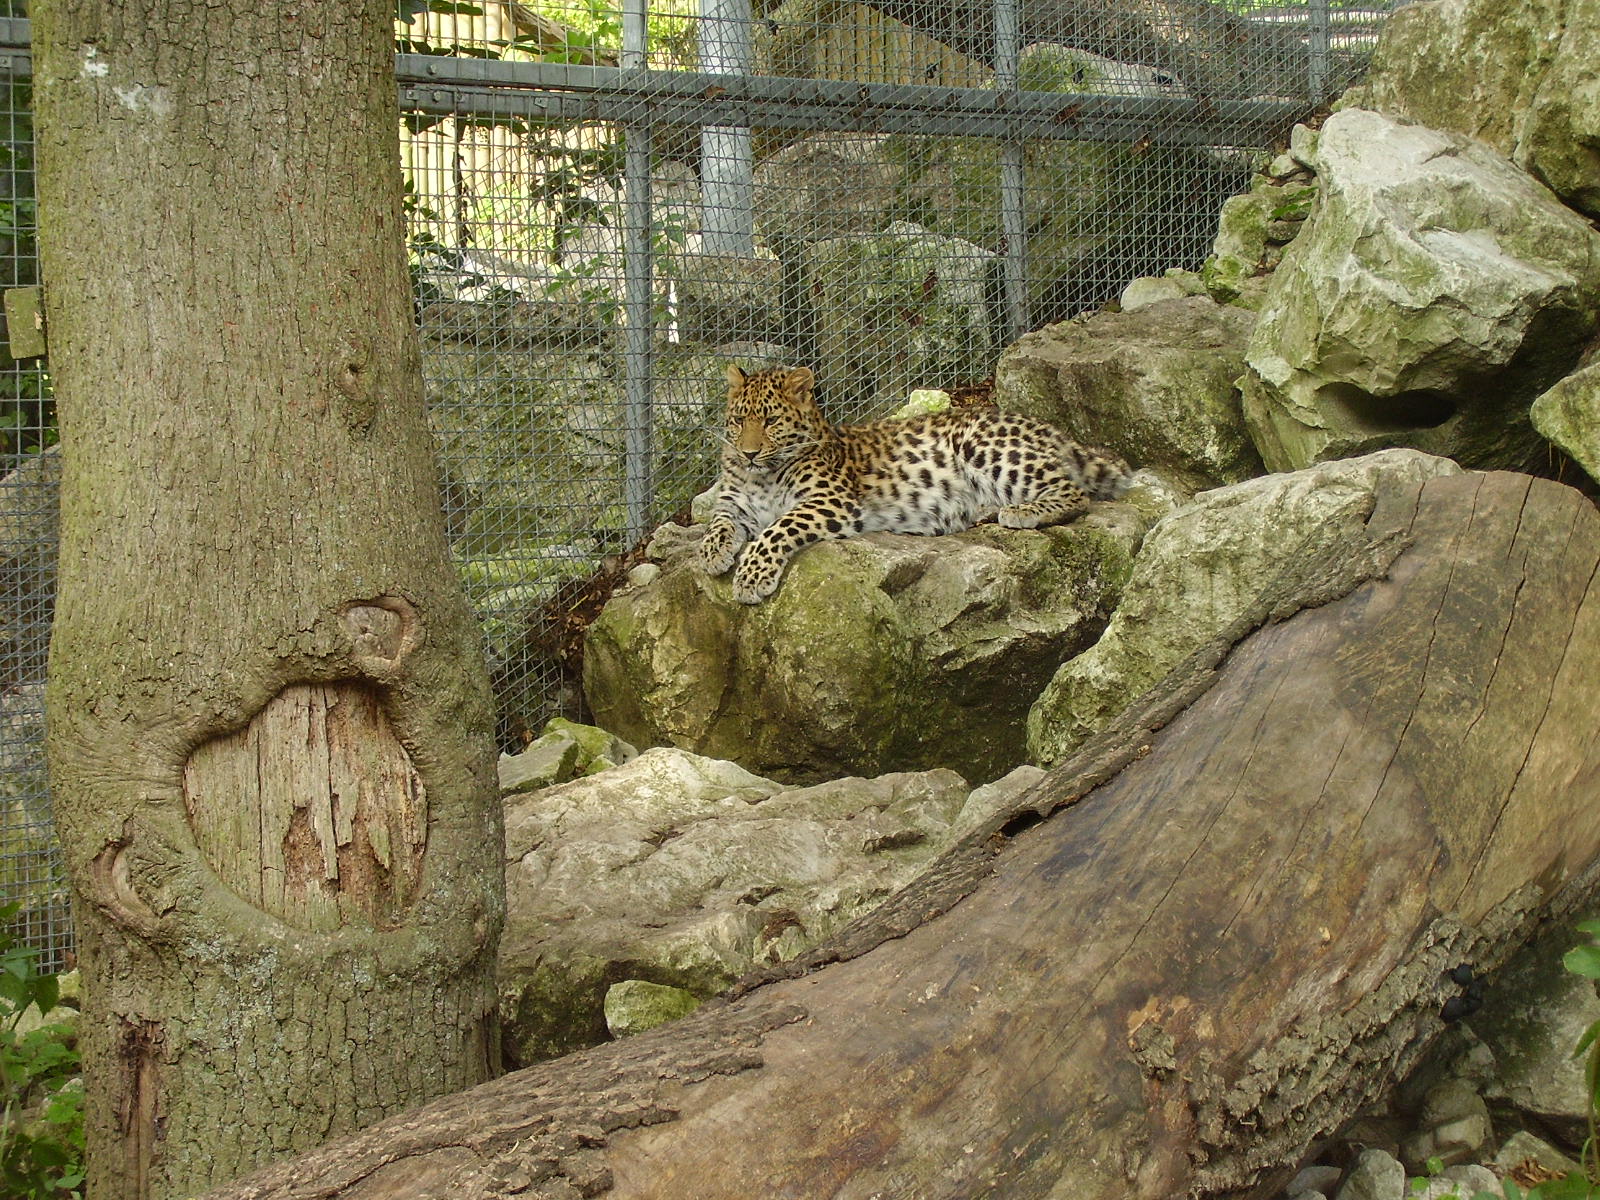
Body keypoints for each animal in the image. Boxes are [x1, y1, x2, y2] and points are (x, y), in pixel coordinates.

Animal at [700, 364, 1132, 604]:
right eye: (738, 420)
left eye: (771, 421)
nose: (748, 453)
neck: (762, 476)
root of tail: (1050, 428)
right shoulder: (734, 503)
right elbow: (717, 522)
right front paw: (713, 554)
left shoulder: (830, 500)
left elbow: (776, 529)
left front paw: (751, 576)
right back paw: (983, 512)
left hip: (982, 445)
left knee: (1075, 493)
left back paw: (1022, 511)